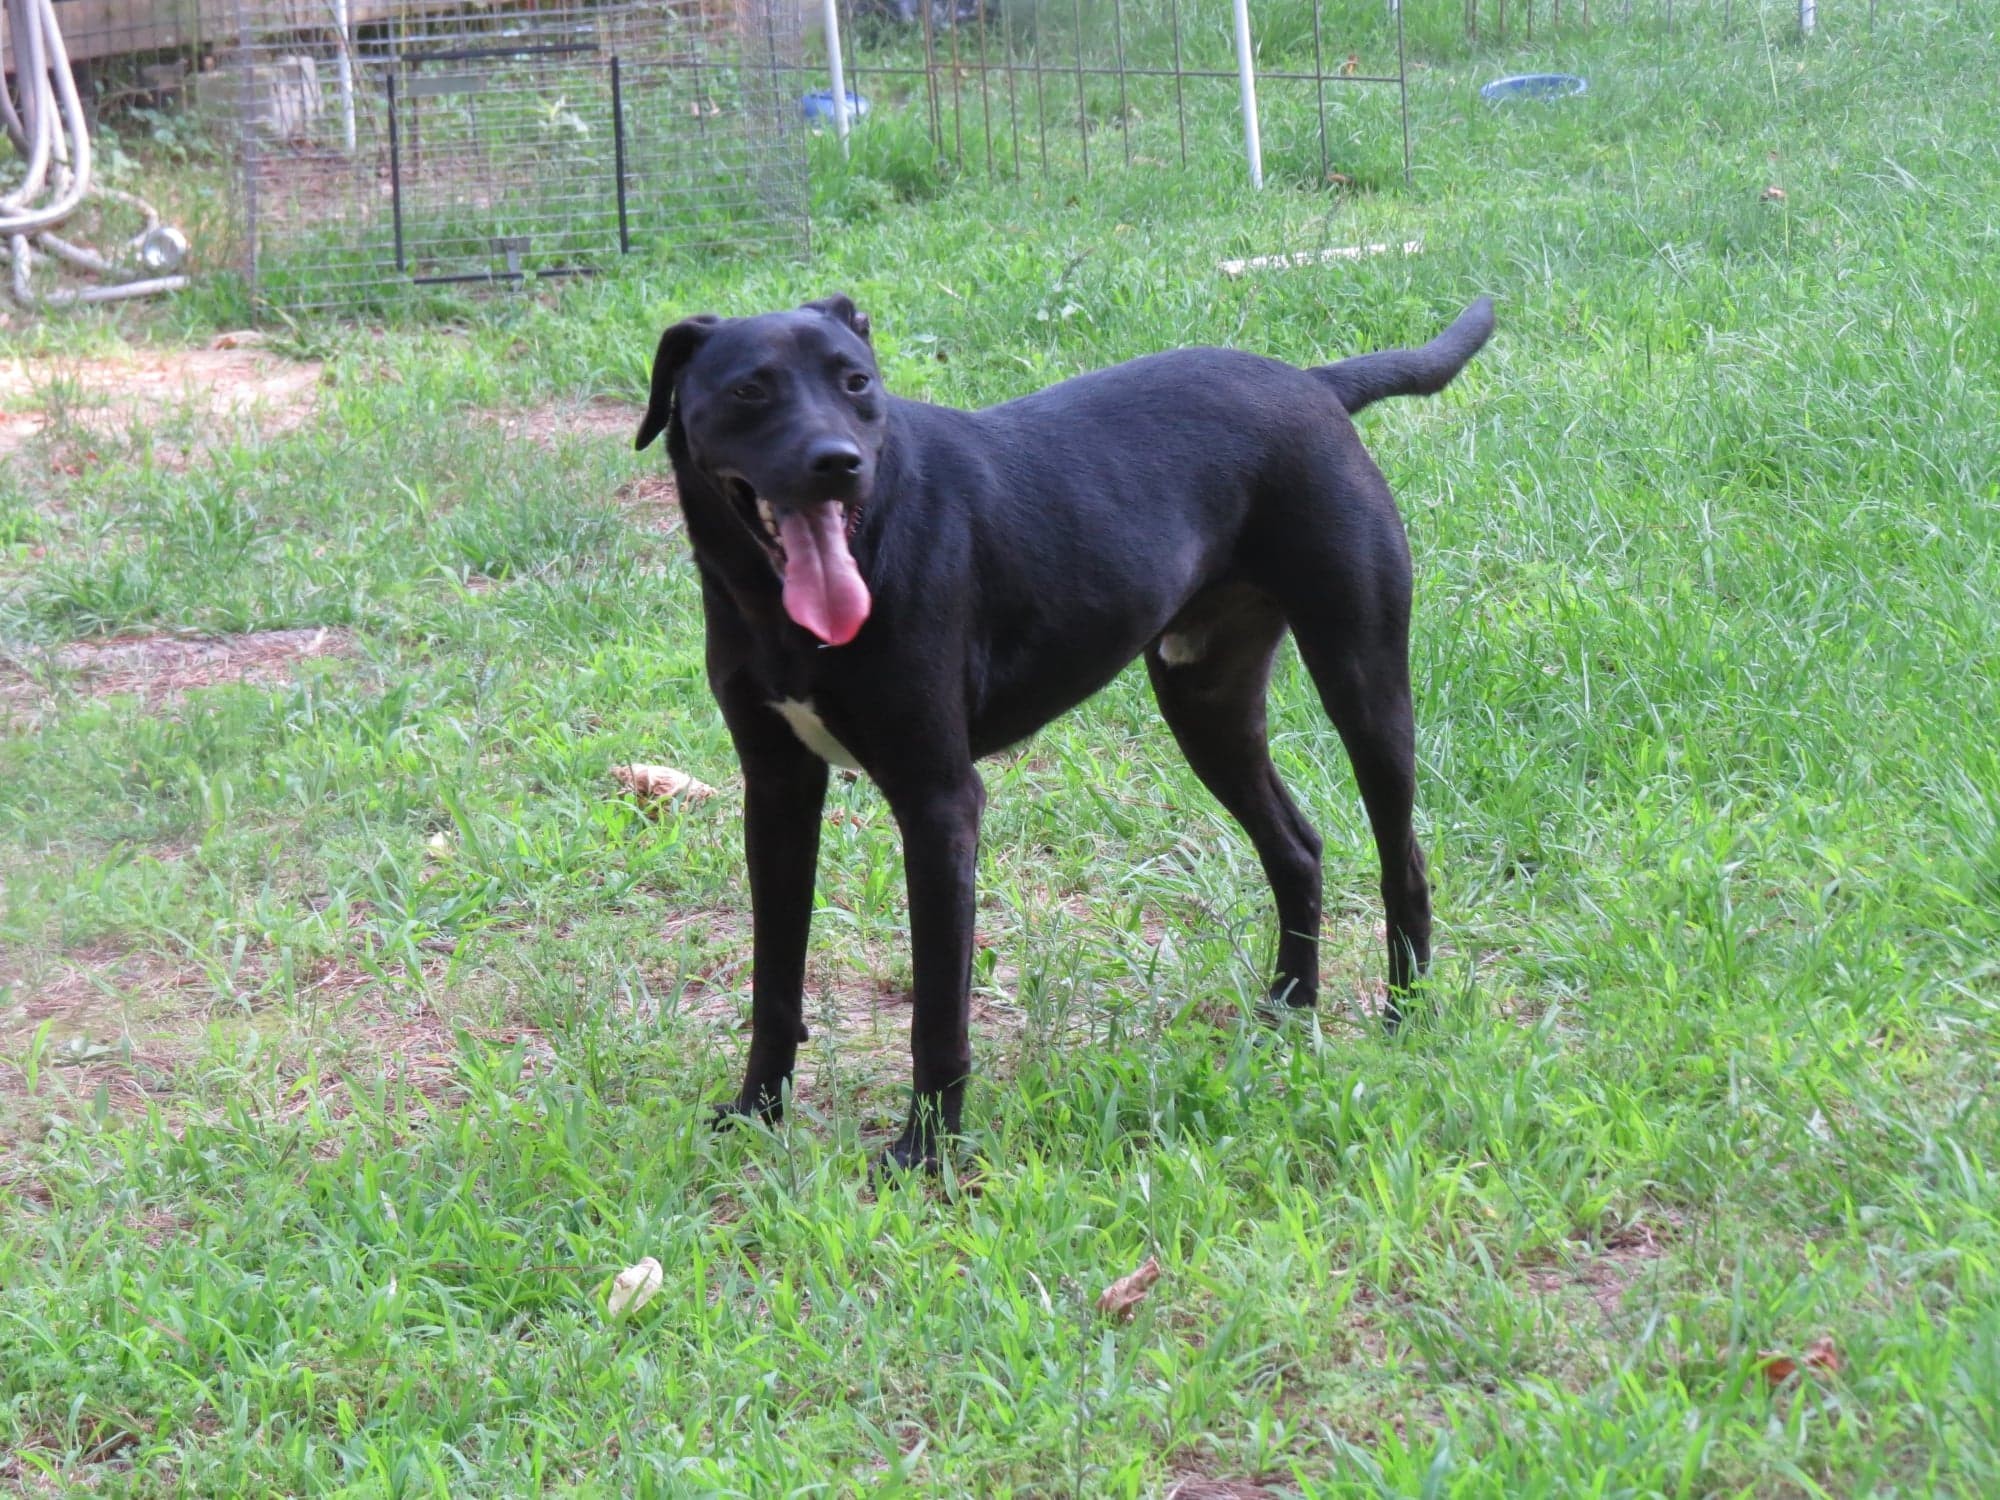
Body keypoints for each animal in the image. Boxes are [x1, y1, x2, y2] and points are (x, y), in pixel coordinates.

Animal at [632, 294, 1496, 1176]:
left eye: (856, 383)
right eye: (750, 390)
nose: (838, 463)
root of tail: (1313, 382)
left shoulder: (939, 800)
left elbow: (936, 1010)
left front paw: (927, 1152)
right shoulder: (776, 791)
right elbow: (774, 979)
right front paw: (755, 1114)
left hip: (1362, 677)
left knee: (1402, 862)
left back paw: (1404, 1017)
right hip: (1208, 704)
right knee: (1296, 848)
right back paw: (1288, 1008)